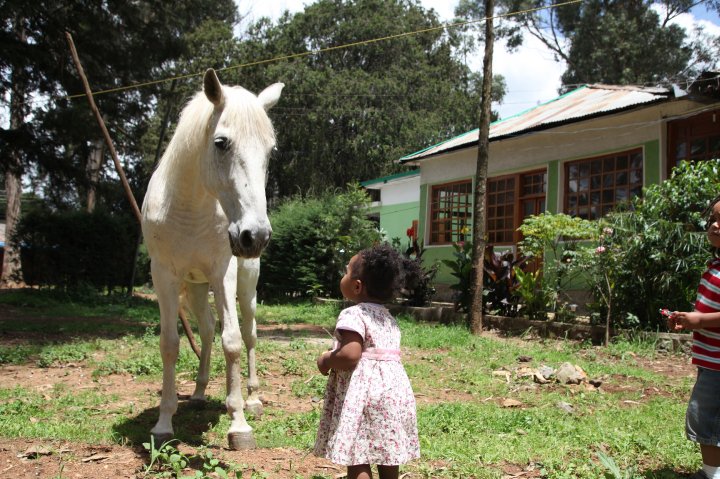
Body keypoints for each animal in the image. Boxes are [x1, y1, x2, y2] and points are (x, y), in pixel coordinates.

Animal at [141, 68, 283, 450]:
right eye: (221, 143)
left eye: (271, 150)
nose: (255, 236)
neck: (190, 206)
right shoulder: (165, 277)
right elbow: (170, 345)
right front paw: (164, 423)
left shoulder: (223, 275)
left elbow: (231, 342)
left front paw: (239, 423)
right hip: (193, 290)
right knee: (205, 331)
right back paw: (200, 393)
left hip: (245, 288)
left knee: (249, 335)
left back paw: (253, 398)